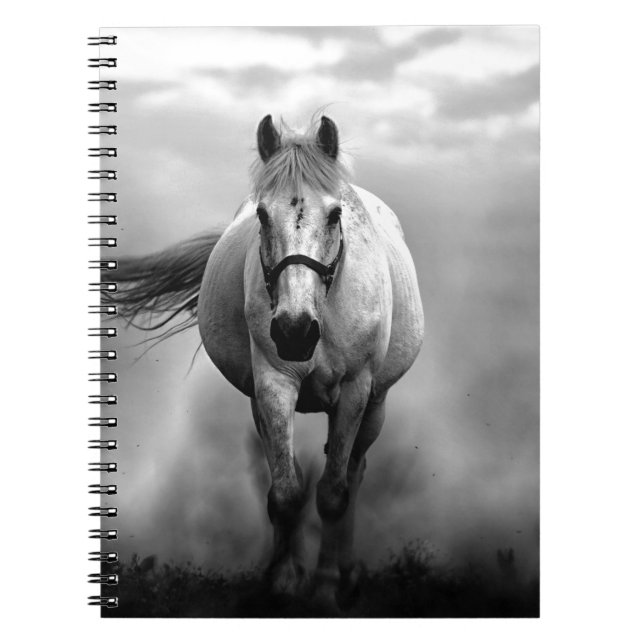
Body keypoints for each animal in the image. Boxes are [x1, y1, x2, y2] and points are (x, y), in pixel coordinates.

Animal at [108, 114, 424, 609]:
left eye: (335, 215)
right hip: (260, 403)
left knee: (353, 473)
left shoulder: (355, 389)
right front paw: (283, 582)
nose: (295, 330)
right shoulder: (273, 385)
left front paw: (327, 588)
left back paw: (347, 574)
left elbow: (333, 494)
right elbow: (286, 492)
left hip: (376, 405)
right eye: (261, 215)